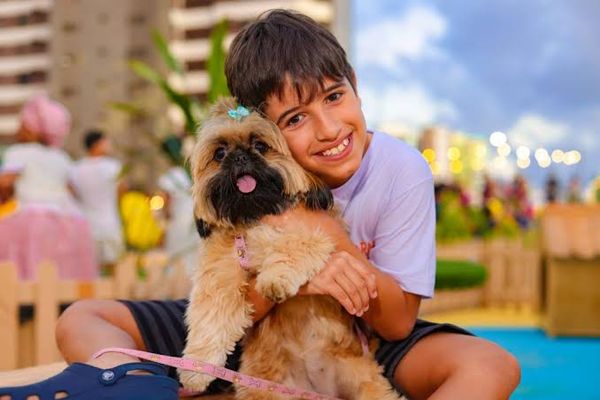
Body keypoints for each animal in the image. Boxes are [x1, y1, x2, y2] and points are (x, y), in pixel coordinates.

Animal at [179, 97, 404, 400]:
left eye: (260, 146)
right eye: (220, 153)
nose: (239, 157)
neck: (255, 216)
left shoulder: (315, 235)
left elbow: (290, 247)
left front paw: (275, 279)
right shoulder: (219, 273)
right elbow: (210, 316)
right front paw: (196, 368)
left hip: (364, 382)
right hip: (261, 388)